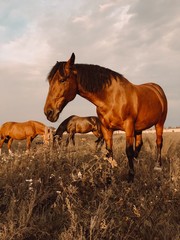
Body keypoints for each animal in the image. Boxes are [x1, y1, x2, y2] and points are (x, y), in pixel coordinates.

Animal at [43, 53, 167, 182]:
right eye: (50, 82)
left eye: (62, 80)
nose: (48, 112)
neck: (112, 98)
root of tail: (157, 89)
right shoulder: (107, 129)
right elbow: (109, 152)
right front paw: (109, 177)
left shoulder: (128, 127)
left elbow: (128, 151)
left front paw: (130, 177)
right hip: (139, 128)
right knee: (139, 144)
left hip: (159, 123)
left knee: (159, 142)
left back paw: (158, 166)